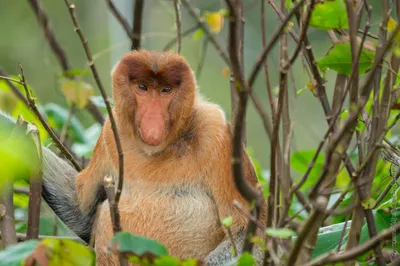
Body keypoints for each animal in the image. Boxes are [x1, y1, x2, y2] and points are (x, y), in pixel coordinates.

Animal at [3, 50, 268, 266]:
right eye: (142, 87)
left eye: (166, 90)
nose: (152, 120)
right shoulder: (111, 133)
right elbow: (81, 210)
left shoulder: (218, 135)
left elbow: (249, 234)